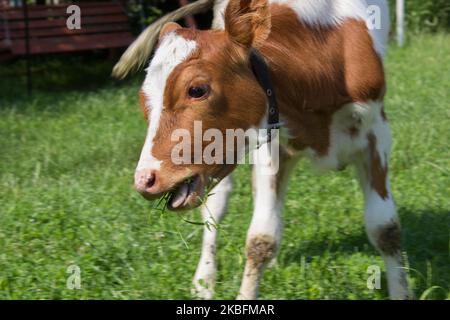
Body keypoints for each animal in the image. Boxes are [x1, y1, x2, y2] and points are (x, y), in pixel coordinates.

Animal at [126, 0, 412, 300]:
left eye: (197, 90)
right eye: (143, 99)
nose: (145, 179)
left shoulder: (377, 132)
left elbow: (386, 229)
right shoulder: (270, 143)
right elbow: (261, 238)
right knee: (217, 205)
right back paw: (204, 280)